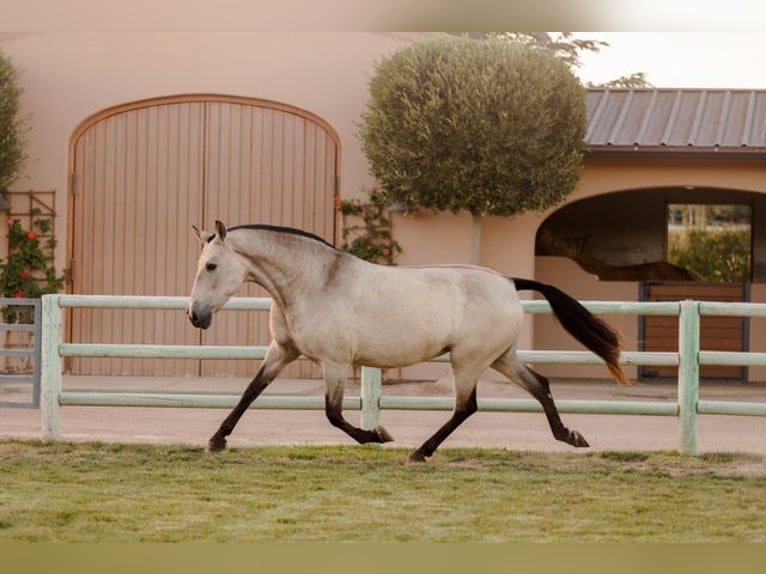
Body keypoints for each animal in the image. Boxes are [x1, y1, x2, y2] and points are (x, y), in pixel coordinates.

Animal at [188, 220, 632, 464]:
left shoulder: (334, 362)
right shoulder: (282, 351)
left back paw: (419, 451)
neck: (314, 281)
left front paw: (378, 436)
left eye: (212, 265)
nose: (195, 316)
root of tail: (508, 281)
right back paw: (570, 436)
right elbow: (250, 392)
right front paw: (216, 440)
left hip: (468, 361)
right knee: (540, 385)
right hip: (500, 357)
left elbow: (333, 415)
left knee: (466, 407)